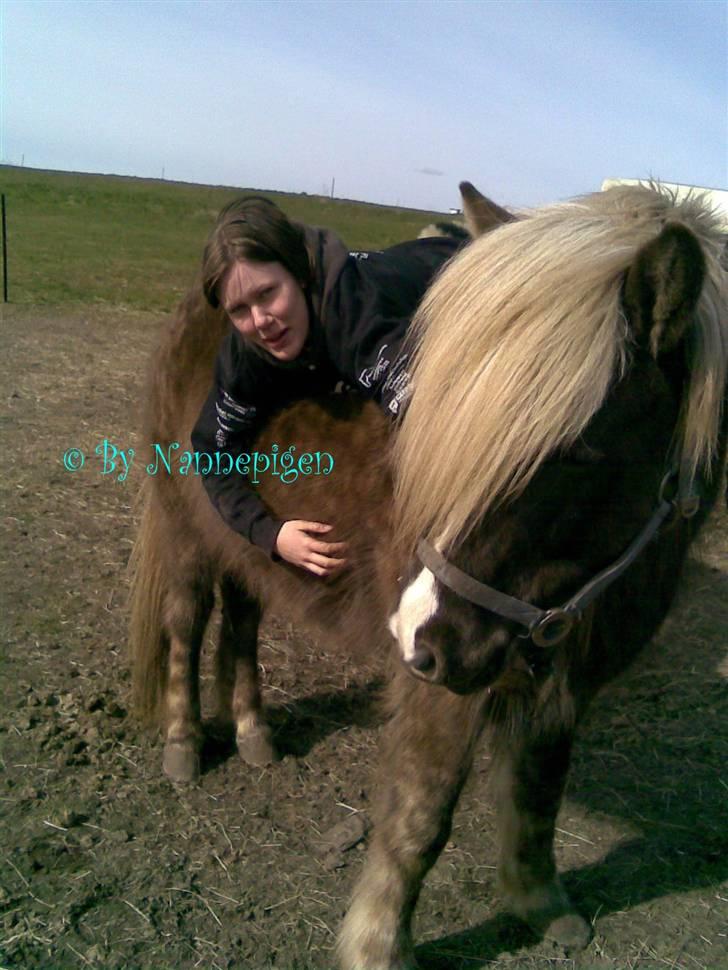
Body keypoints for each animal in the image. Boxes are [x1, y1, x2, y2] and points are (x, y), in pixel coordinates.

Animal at [131, 183, 728, 968]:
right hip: (188, 534)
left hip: (255, 547)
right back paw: (182, 746)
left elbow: (540, 791)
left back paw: (254, 732)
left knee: (245, 620)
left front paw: (540, 903)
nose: (419, 632)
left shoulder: (568, 682)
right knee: (185, 624)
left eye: (581, 453)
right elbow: (423, 814)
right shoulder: (443, 690)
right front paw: (379, 946)